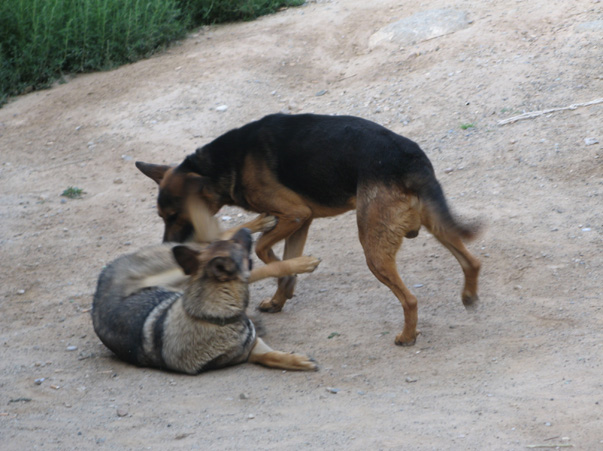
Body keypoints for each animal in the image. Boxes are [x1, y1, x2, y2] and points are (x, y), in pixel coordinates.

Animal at [92, 201, 320, 374]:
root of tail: (108, 269)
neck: (210, 317)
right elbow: (268, 357)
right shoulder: (250, 348)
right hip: (177, 273)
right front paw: (300, 264)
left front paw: (296, 360)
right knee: (229, 247)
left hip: (187, 264)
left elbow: (273, 357)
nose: (246, 232)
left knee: (216, 236)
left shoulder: (253, 345)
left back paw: (260, 221)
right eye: (241, 251)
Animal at [136, 112, 482, 346]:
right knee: (472, 261)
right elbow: (284, 257)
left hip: (373, 249)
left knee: (410, 299)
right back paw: (469, 296)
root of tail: (409, 158)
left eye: (175, 216)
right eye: (161, 216)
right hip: (436, 225)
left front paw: (284, 280)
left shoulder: (294, 214)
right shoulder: (302, 221)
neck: (225, 162)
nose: (169, 249)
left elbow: (264, 249)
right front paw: (281, 295)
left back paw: (407, 336)